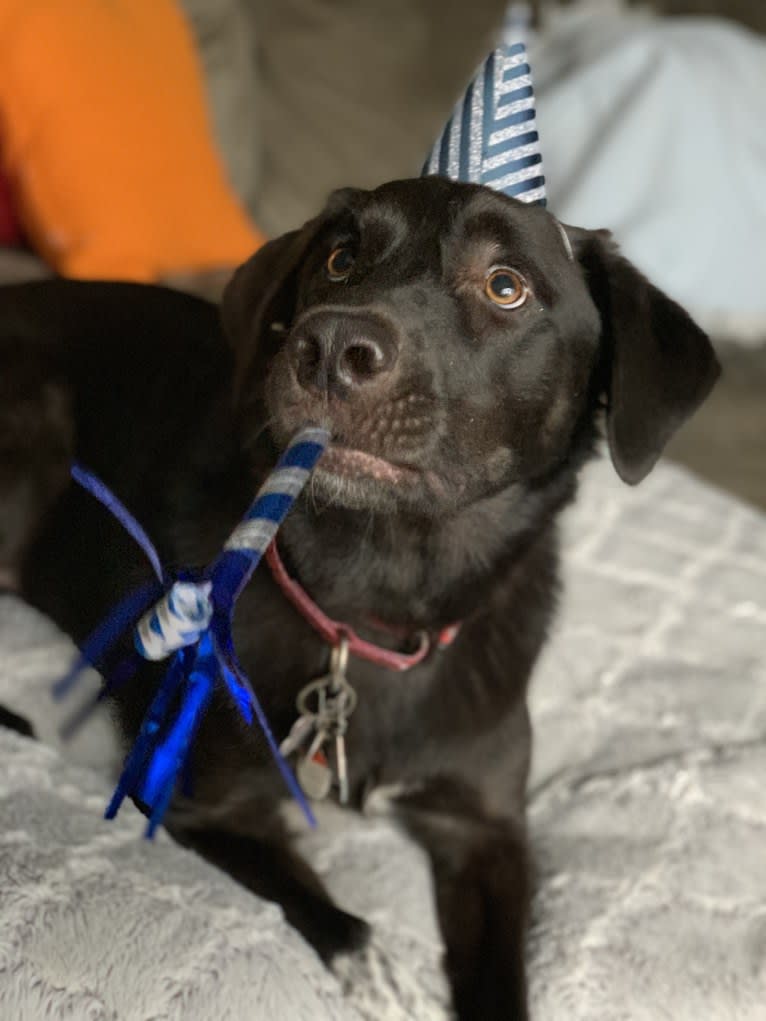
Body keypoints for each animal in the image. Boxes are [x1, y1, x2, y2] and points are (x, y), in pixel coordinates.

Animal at [1, 179, 719, 1016]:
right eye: (341, 258)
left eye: (506, 285)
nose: (331, 346)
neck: (382, 605)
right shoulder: (188, 798)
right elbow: (320, 899)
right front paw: (375, 968)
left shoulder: (489, 828)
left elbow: (504, 973)